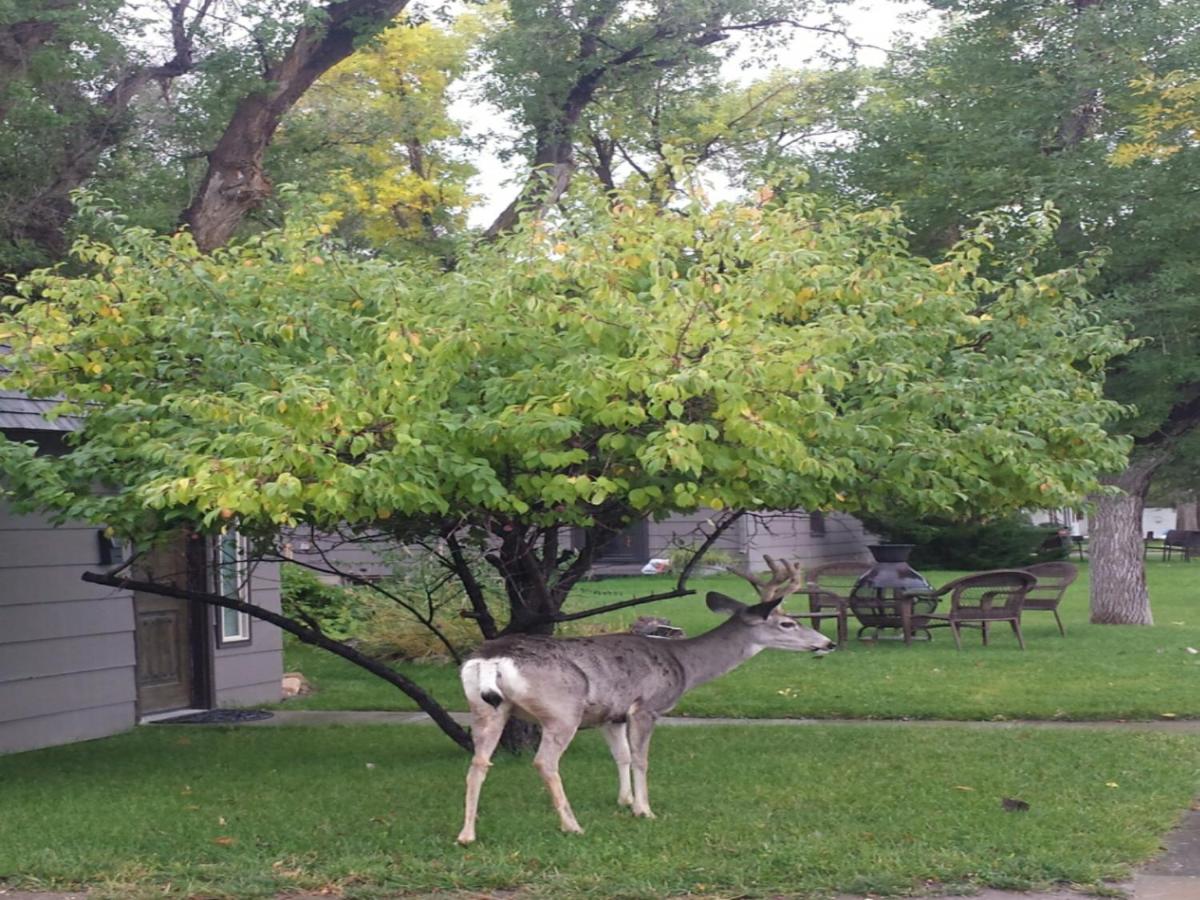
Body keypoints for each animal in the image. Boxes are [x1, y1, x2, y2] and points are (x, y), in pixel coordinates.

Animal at [456, 556, 835, 844]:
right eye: (788, 624)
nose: (827, 643)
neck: (684, 664)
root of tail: (490, 658)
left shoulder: (611, 714)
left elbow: (621, 755)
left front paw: (625, 801)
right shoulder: (646, 706)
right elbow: (640, 759)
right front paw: (645, 810)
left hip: (487, 708)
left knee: (478, 763)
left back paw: (467, 834)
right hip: (562, 710)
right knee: (544, 762)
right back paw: (572, 825)